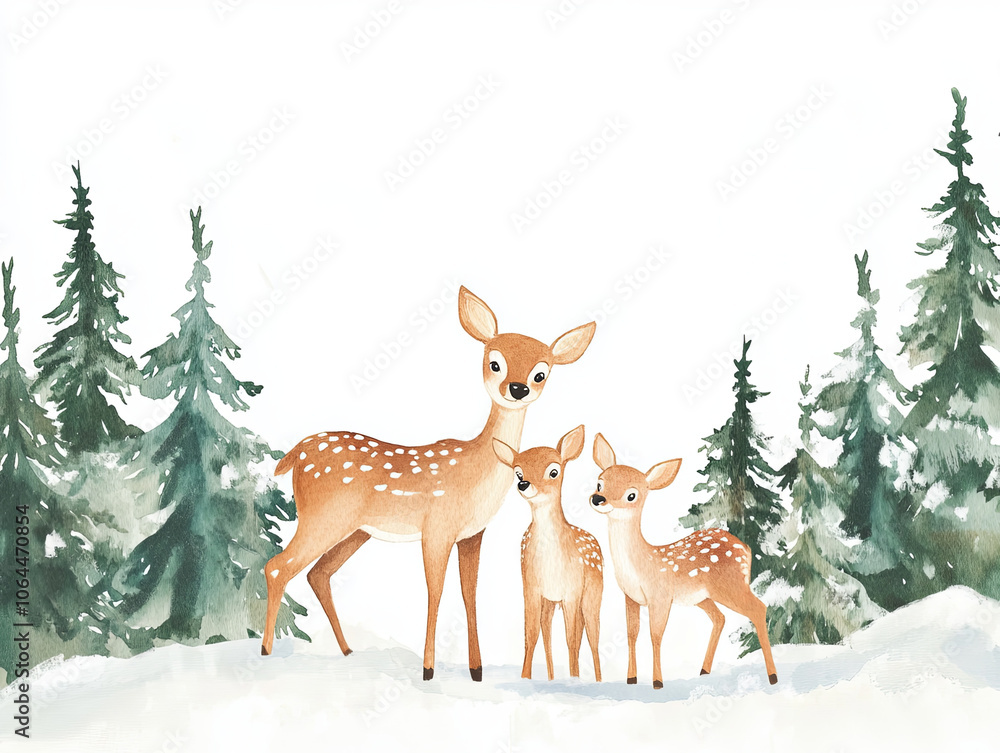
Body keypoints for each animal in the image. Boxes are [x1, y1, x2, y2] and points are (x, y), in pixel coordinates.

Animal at [493, 425, 603, 682]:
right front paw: (525, 678)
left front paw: (574, 680)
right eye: (517, 472)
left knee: (592, 637)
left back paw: (596, 679)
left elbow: (571, 640)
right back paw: (553, 678)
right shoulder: (531, 587)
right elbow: (531, 635)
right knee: (547, 631)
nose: (524, 484)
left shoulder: (572, 591)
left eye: (554, 471)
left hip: (592, 594)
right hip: (550, 601)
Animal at [588, 433, 778, 688]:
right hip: (703, 596)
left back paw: (773, 677)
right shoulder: (631, 597)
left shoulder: (660, 595)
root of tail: (745, 548)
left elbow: (655, 635)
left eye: (631, 495)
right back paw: (704, 671)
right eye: (600, 482)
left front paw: (657, 682)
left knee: (758, 608)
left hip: (730, 585)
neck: (641, 565)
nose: (598, 498)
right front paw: (631, 679)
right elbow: (632, 634)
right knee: (720, 618)